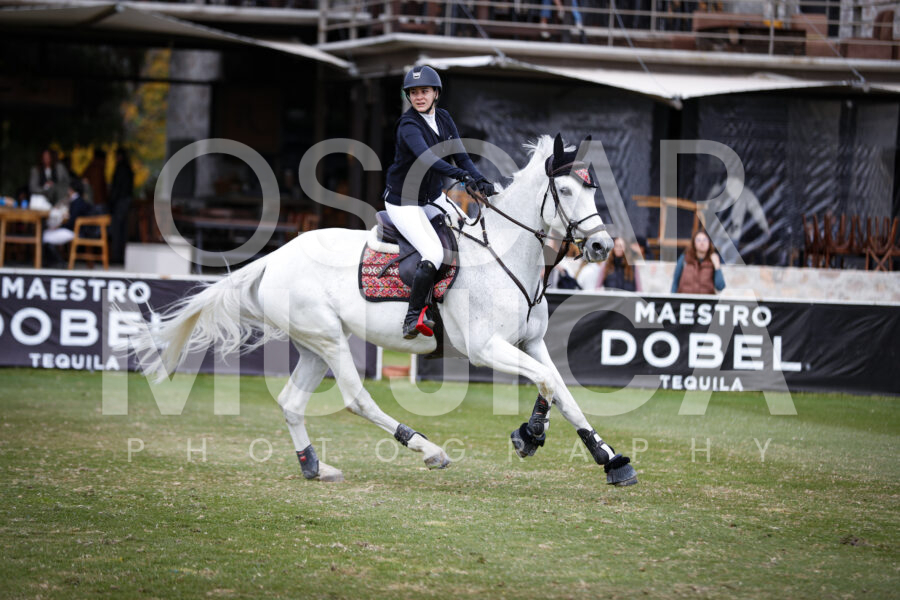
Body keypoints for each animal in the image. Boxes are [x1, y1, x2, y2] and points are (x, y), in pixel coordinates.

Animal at [131, 133, 638, 487]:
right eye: (566, 191)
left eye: (592, 190)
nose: (600, 246)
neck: (505, 254)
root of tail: (275, 257)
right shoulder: (486, 347)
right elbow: (548, 382)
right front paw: (530, 435)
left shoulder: (531, 342)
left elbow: (561, 389)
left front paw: (609, 459)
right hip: (330, 340)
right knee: (358, 399)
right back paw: (427, 449)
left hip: (314, 345)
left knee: (291, 402)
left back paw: (315, 466)